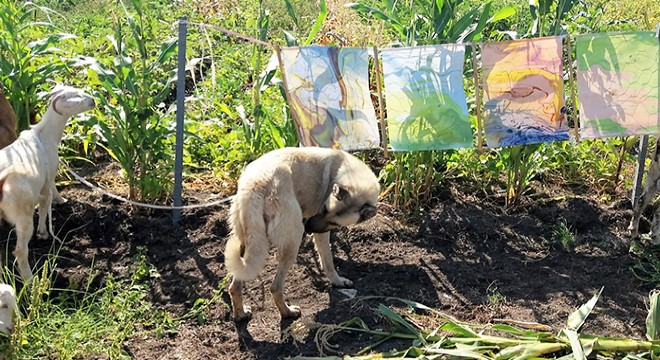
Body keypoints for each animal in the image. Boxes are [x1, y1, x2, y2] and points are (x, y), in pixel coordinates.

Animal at [0, 86, 96, 282]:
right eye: (76, 95)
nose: (94, 101)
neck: (45, 135)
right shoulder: (48, 178)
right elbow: (46, 204)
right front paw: (44, 232)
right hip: (22, 214)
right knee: (20, 251)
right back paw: (30, 280)